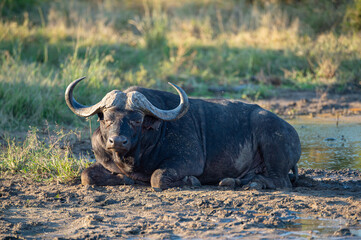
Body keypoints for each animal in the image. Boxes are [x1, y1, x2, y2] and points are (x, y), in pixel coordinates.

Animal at [65, 77, 300, 189]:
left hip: (269, 136)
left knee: (281, 182)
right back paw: (233, 182)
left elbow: (157, 178)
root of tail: (291, 131)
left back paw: (253, 184)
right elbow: (86, 175)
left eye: (137, 120)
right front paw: (125, 179)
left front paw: (191, 181)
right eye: (106, 119)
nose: (117, 141)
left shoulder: (189, 161)